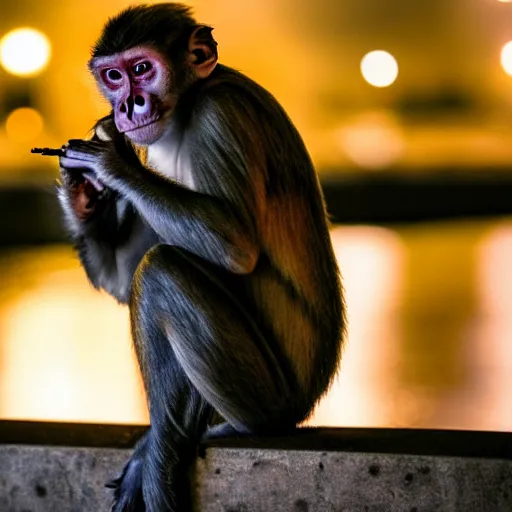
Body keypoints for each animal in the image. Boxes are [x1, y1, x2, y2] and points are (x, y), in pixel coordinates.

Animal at [55, 4, 344, 512]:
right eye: (113, 76)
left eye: (142, 69)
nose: (128, 106)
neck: (191, 102)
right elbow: (121, 280)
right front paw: (83, 192)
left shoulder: (219, 117)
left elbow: (232, 245)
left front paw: (110, 162)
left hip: (274, 399)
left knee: (162, 271)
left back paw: (181, 441)